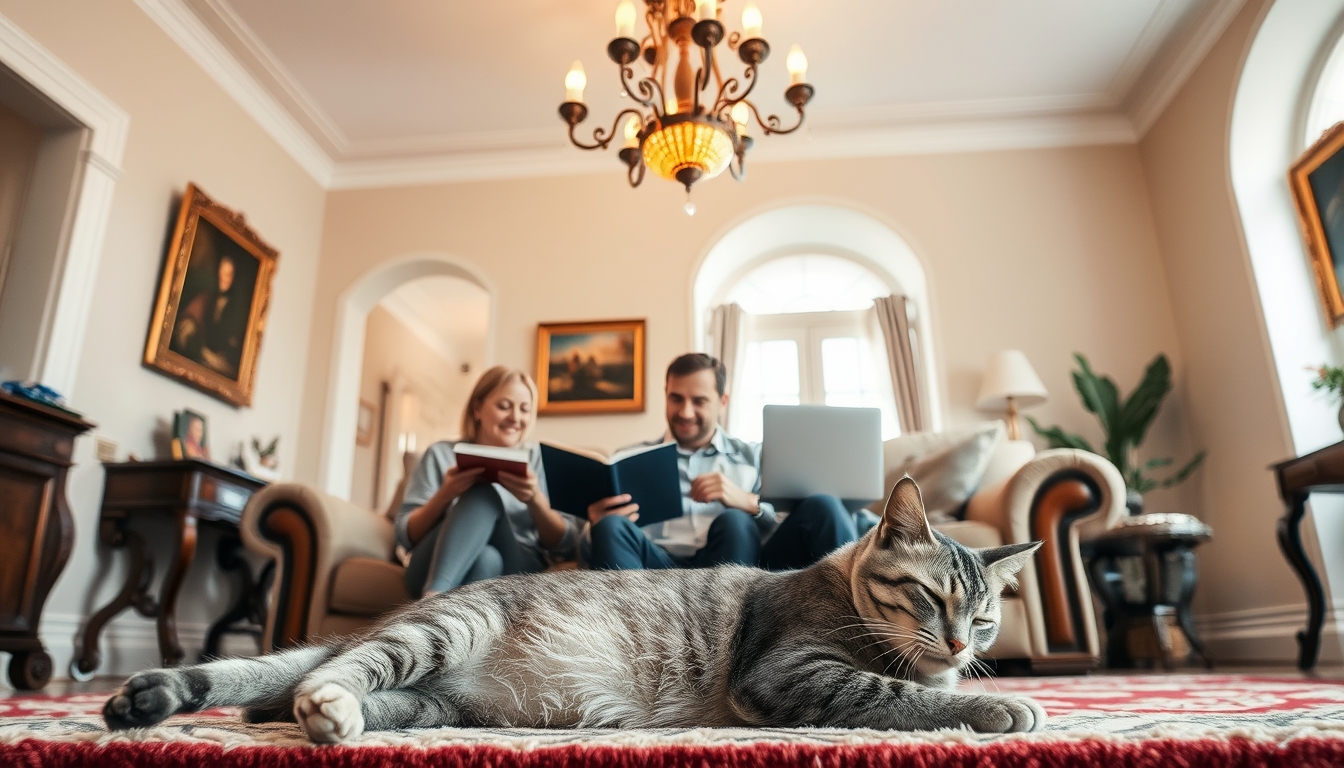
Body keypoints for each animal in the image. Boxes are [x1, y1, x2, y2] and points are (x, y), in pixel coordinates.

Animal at [107, 478, 1048, 742]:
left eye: (984, 618)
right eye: (929, 597)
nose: (961, 644)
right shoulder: (787, 671)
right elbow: (900, 696)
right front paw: (1001, 705)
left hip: (434, 705)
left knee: (317, 691)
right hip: (436, 633)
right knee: (333, 672)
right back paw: (323, 704)